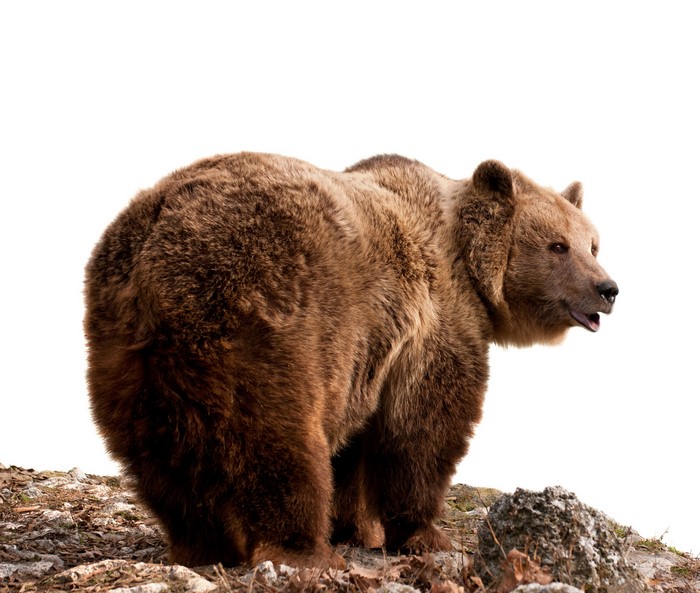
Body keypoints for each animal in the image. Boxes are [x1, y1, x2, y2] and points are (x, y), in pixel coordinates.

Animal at [84, 152, 618, 569]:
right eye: (557, 245)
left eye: (593, 244)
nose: (607, 288)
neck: (469, 267)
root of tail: (156, 249)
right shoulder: (433, 325)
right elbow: (423, 428)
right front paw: (422, 532)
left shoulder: (373, 354)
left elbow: (360, 445)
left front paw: (358, 527)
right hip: (265, 314)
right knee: (280, 440)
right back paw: (303, 549)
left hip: (129, 356)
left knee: (162, 459)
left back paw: (202, 545)